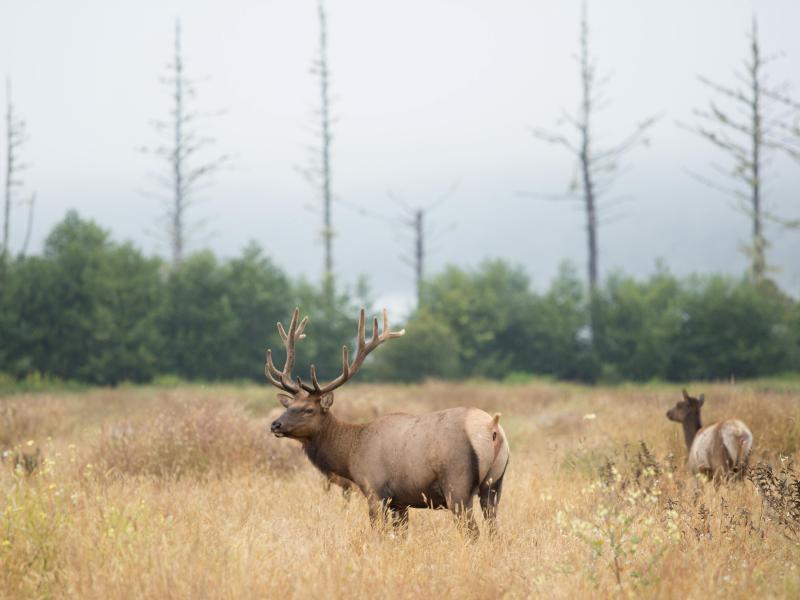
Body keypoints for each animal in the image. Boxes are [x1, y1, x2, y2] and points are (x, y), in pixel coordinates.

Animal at [266, 310, 510, 540]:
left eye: (309, 409)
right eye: (290, 405)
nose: (275, 425)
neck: (350, 455)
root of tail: (492, 427)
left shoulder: (374, 489)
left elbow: (379, 532)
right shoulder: (400, 501)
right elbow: (401, 535)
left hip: (457, 485)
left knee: (473, 532)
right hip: (494, 485)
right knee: (494, 531)